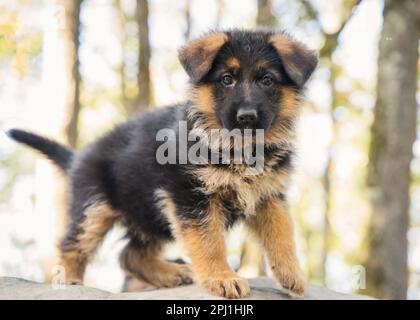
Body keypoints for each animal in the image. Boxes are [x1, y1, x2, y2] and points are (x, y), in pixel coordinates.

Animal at [6, 28, 316, 298]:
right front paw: (222, 278)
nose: (247, 117)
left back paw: (171, 274)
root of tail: (79, 156)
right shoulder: (190, 196)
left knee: (130, 256)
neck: (236, 149)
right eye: (227, 79)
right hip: (95, 208)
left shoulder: (269, 195)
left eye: (267, 80)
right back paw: (69, 280)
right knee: (73, 245)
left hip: (149, 213)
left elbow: (282, 233)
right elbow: (209, 242)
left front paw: (292, 274)